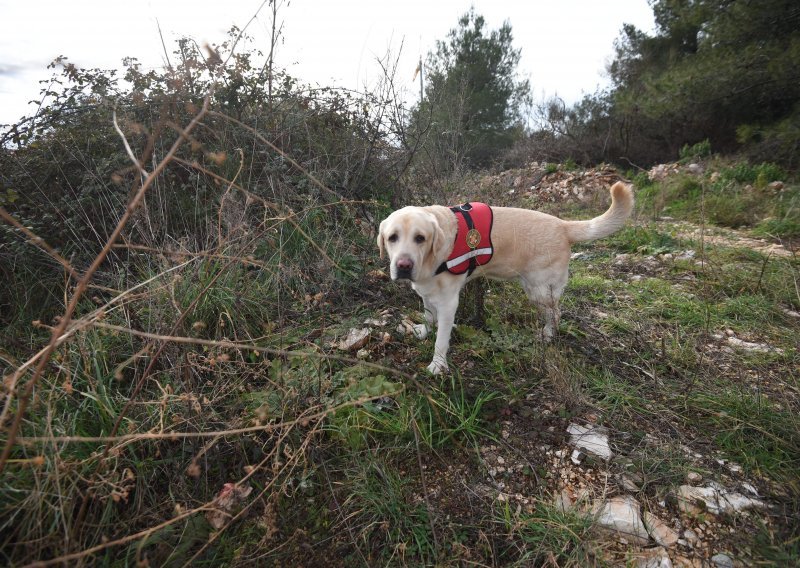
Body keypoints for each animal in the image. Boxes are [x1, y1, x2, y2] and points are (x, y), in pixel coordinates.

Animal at [378, 182, 636, 374]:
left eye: (420, 238)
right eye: (392, 237)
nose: (403, 265)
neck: (432, 259)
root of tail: (563, 225)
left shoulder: (449, 302)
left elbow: (441, 338)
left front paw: (438, 364)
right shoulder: (428, 293)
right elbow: (429, 316)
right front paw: (424, 331)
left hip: (539, 290)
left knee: (556, 313)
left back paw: (547, 335)